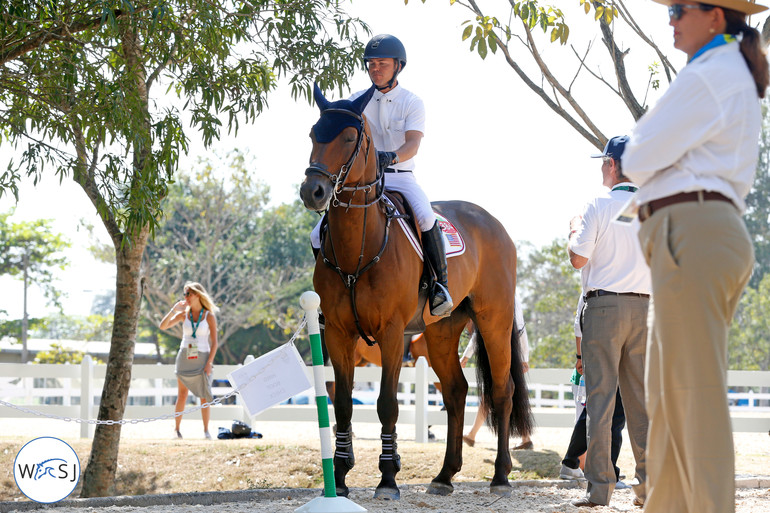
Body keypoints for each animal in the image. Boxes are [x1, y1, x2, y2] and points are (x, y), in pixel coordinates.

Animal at [296, 85, 532, 500]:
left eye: (349, 137)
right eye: (313, 134)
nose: (314, 191)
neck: (359, 247)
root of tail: (493, 223)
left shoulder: (391, 334)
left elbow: (387, 404)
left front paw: (388, 478)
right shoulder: (338, 334)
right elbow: (342, 405)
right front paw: (339, 477)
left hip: (494, 321)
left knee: (502, 390)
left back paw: (500, 476)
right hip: (441, 332)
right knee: (455, 391)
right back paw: (445, 475)